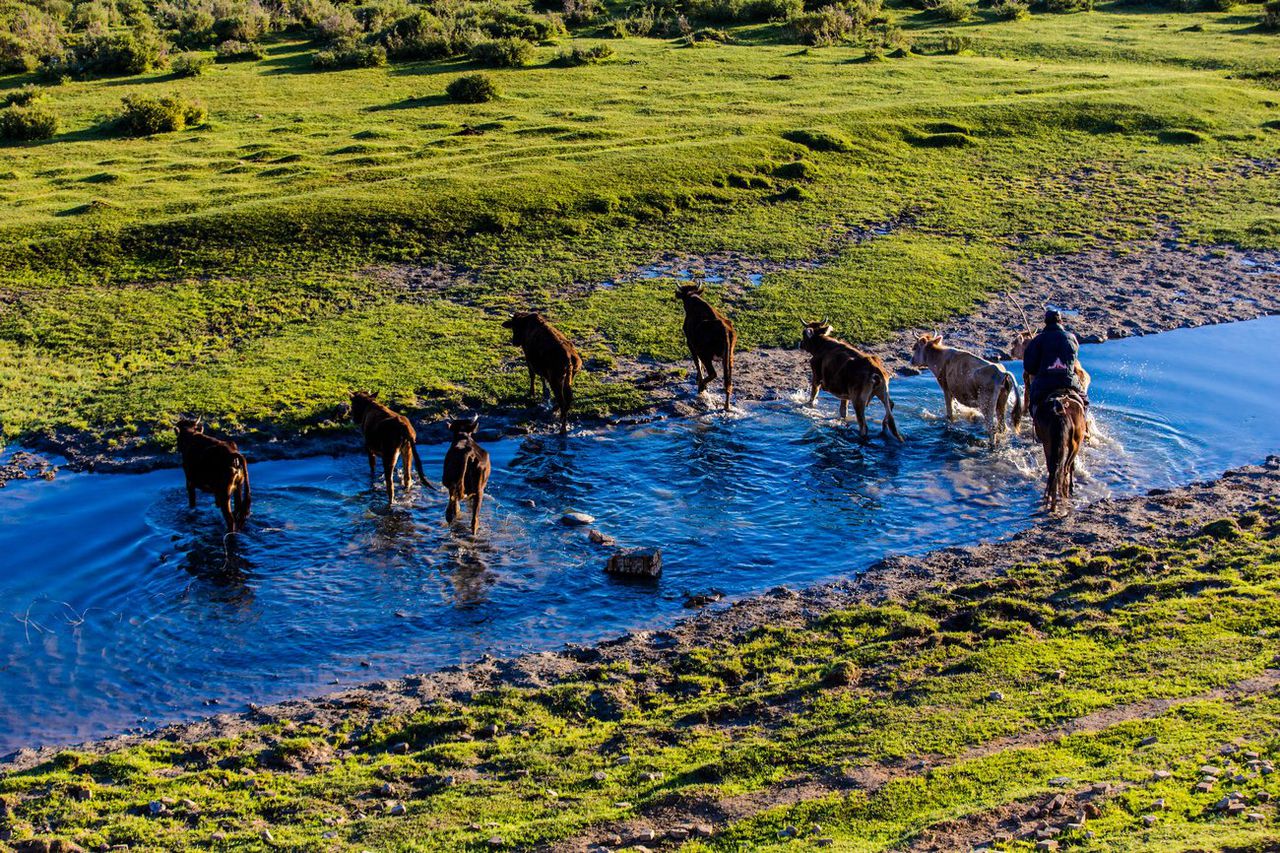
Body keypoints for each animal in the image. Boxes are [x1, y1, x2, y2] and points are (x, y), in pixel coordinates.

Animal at [675, 281, 737, 412]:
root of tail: (724, 330)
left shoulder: (691, 344)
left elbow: (697, 364)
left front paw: (699, 380)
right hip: (729, 357)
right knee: (728, 382)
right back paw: (726, 406)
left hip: (705, 354)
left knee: (713, 373)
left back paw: (702, 387)